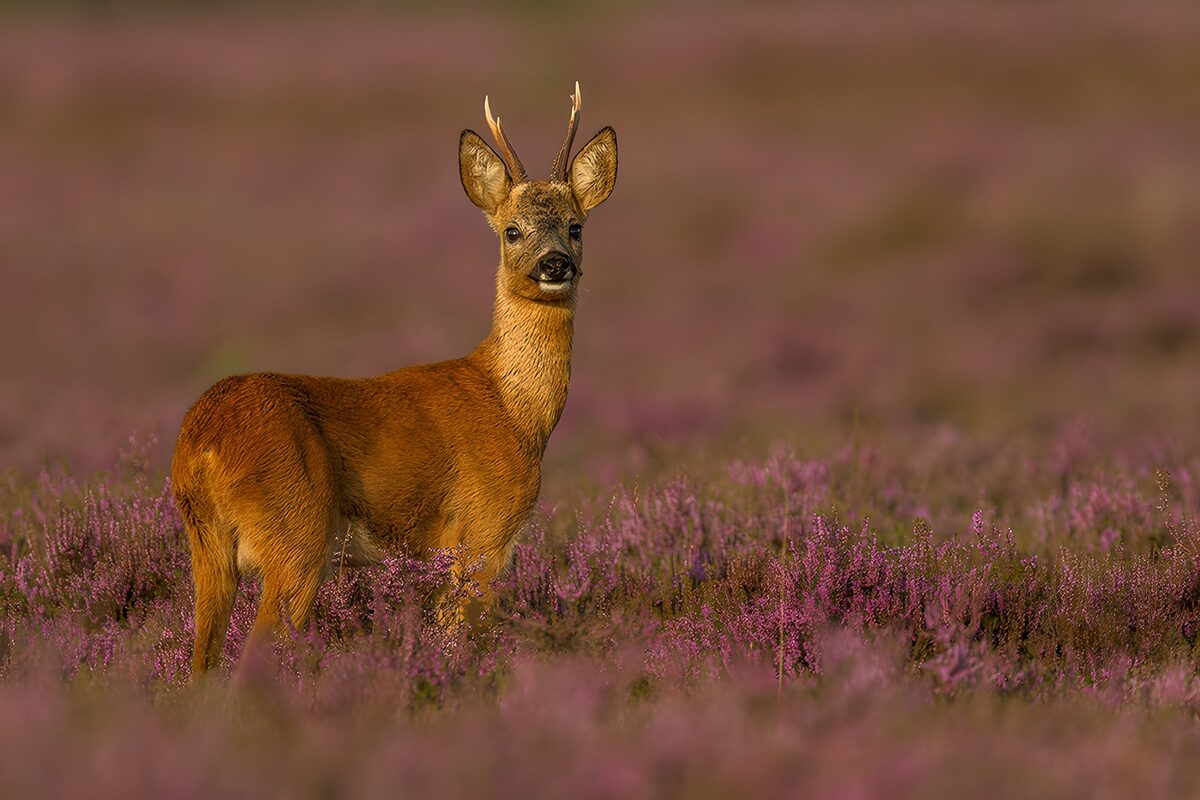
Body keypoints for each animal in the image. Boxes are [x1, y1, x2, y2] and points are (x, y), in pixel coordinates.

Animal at [171, 83, 617, 674]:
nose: (555, 263)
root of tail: (201, 444)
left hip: (209, 547)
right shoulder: (484, 531)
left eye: (575, 226)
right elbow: (460, 644)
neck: (515, 410)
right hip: (296, 531)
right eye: (511, 230)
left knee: (200, 666)